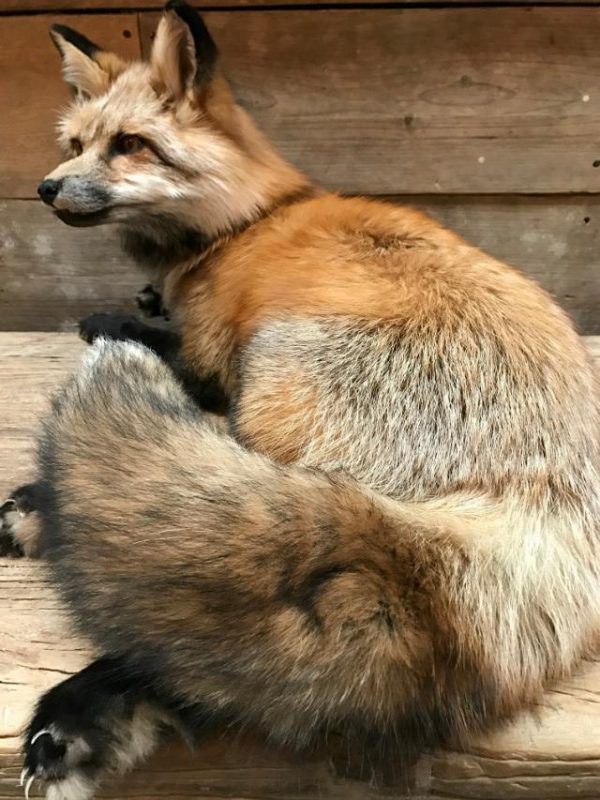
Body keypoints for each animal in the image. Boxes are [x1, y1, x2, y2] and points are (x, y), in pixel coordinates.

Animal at [1, 3, 600, 796]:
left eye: (129, 145)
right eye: (76, 144)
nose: (44, 186)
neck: (242, 224)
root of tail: (545, 497)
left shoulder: (212, 358)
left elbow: (148, 340)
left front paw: (119, 322)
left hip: (272, 394)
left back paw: (75, 695)